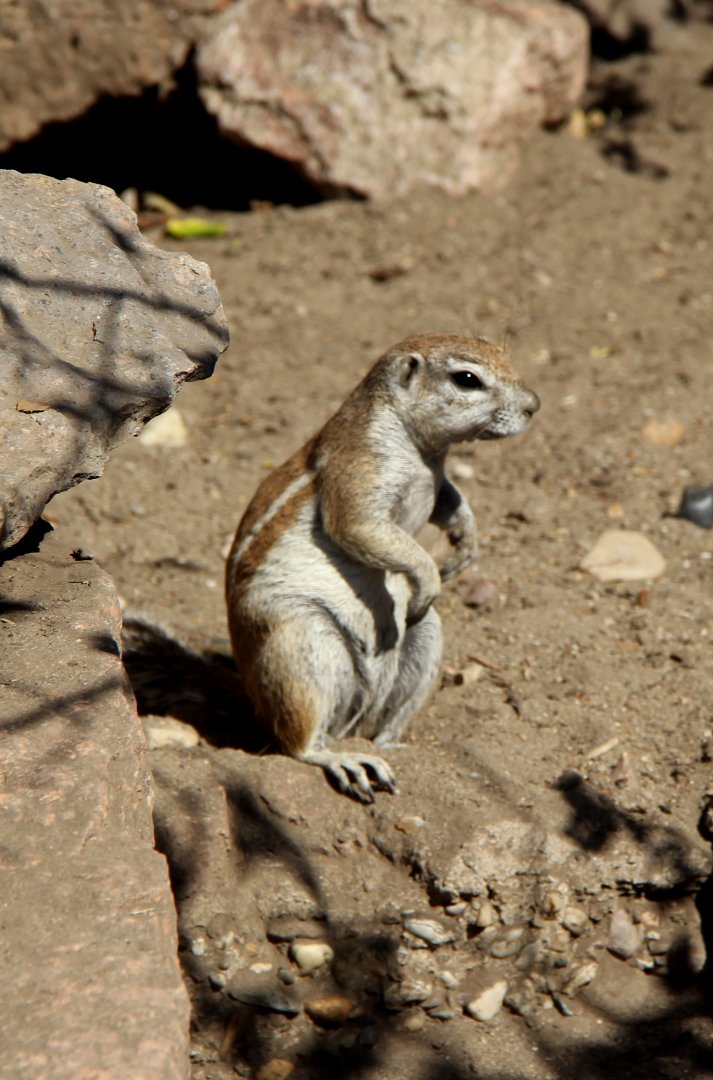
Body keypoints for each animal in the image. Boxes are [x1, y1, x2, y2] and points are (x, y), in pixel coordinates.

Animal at [226, 333, 539, 801]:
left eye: (502, 352)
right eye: (467, 379)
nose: (534, 405)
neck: (424, 452)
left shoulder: (438, 483)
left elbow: (452, 502)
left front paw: (466, 546)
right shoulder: (361, 471)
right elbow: (365, 529)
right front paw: (430, 576)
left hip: (424, 639)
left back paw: (392, 745)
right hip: (300, 642)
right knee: (297, 741)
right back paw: (344, 758)